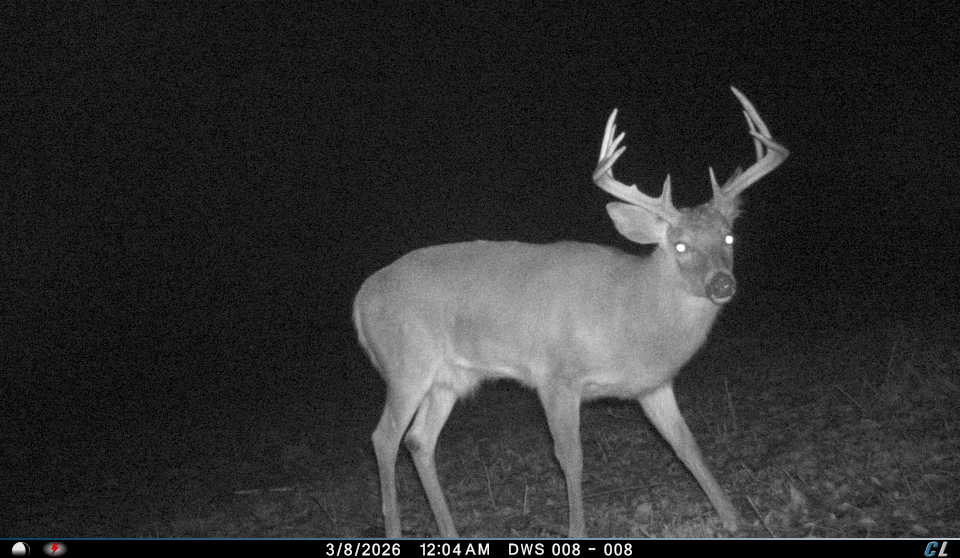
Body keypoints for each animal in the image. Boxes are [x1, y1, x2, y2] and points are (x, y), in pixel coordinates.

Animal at [353, 87, 789, 538]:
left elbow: (687, 445)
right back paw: (394, 530)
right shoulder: (556, 376)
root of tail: (361, 298)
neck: (631, 311)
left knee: (419, 440)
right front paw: (577, 530)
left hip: (449, 379)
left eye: (729, 237)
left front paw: (734, 518)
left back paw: (449, 531)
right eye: (680, 245)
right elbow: (570, 457)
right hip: (407, 363)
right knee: (384, 438)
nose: (722, 284)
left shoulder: (652, 384)